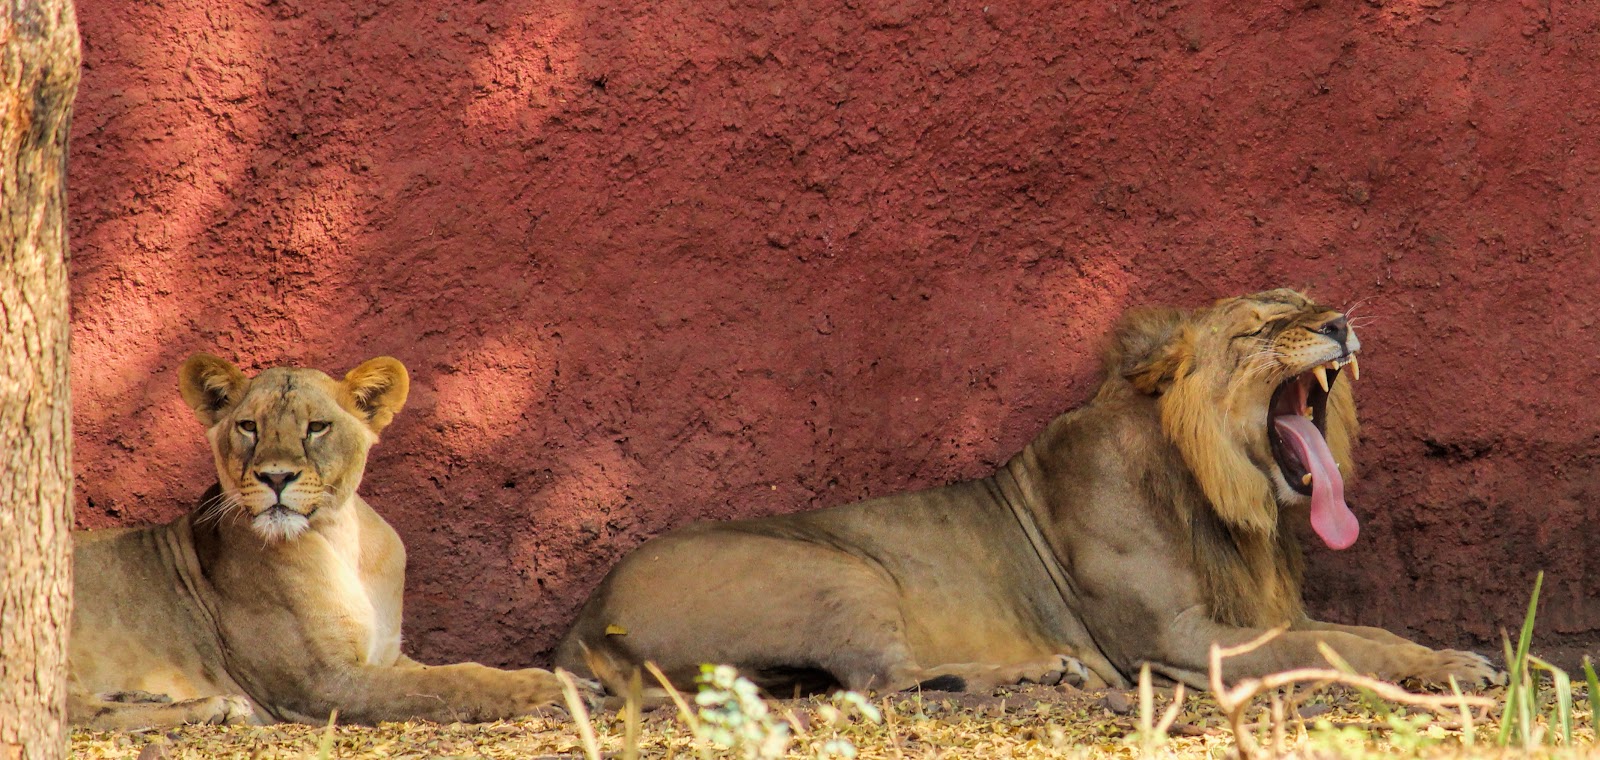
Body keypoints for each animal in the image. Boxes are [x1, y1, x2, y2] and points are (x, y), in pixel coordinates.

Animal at [72, 356, 592, 732]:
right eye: (249, 426)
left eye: (316, 427)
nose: (275, 477)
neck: (343, 540)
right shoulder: (319, 683)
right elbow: (452, 681)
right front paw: (557, 691)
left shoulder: (385, 655)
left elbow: (451, 670)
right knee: (79, 714)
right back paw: (214, 706)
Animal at [560, 289, 1497, 697]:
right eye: (1263, 326)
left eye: (1308, 303)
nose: (1340, 321)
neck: (1223, 499)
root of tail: (583, 616)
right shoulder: (1177, 641)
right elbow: (1333, 648)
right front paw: (1449, 670)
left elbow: (1363, 632)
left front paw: (1452, 655)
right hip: (837, 572)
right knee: (882, 680)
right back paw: (1045, 668)